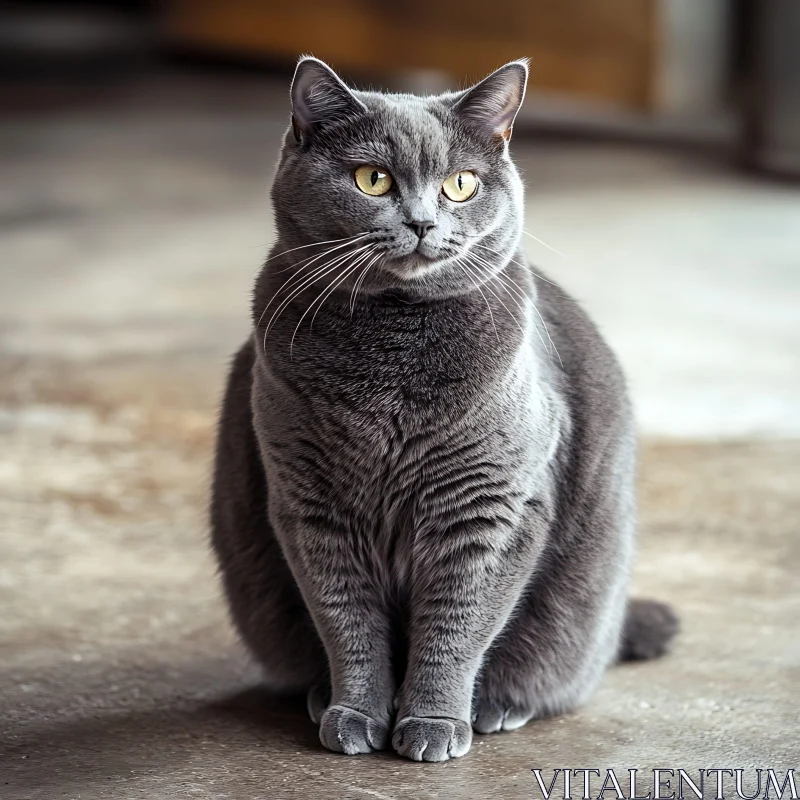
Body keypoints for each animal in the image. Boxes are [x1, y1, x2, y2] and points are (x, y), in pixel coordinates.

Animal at [211, 54, 676, 764]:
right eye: (372, 179)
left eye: (460, 184)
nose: (424, 222)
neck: (392, 358)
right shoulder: (310, 504)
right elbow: (347, 620)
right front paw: (354, 715)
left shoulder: (492, 505)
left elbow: (458, 622)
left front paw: (433, 723)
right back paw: (320, 695)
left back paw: (501, 706)